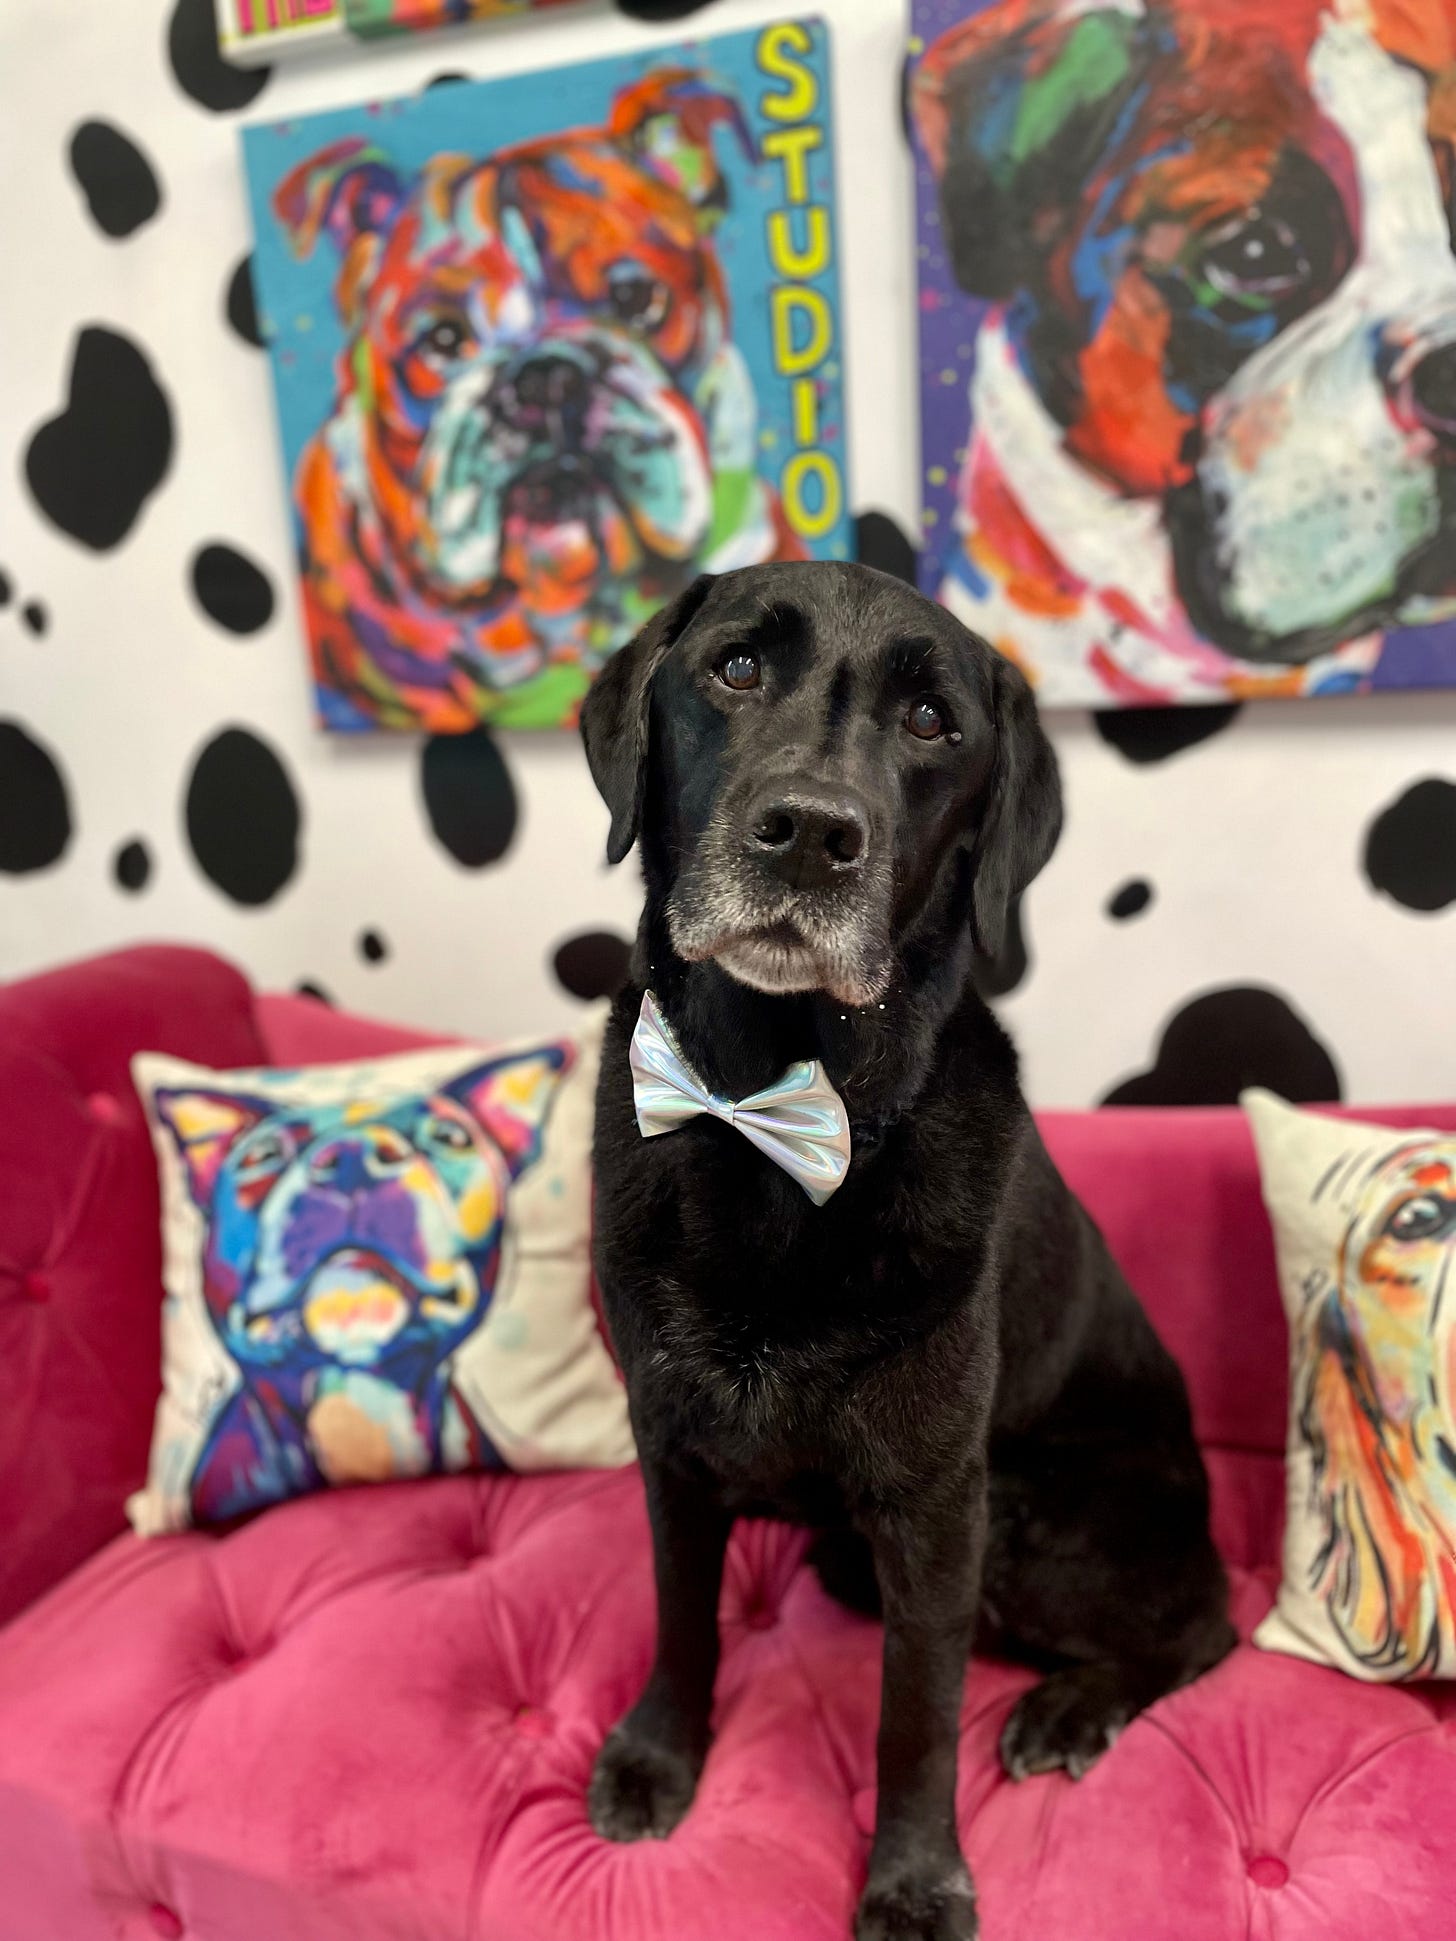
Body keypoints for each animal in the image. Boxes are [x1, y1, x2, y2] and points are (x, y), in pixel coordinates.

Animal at [578, 561, 1233, 1941]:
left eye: (933, 723)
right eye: (733, 668)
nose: (809, 834)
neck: (769, 1126)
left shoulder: (939, 1509)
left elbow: (915, 1718)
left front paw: (916, 1880)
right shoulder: (667, 1445)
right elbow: (681, 1617)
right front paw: (660, 1755)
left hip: (1037, 1518)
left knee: (1206, 1623)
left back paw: (1072, 1707)